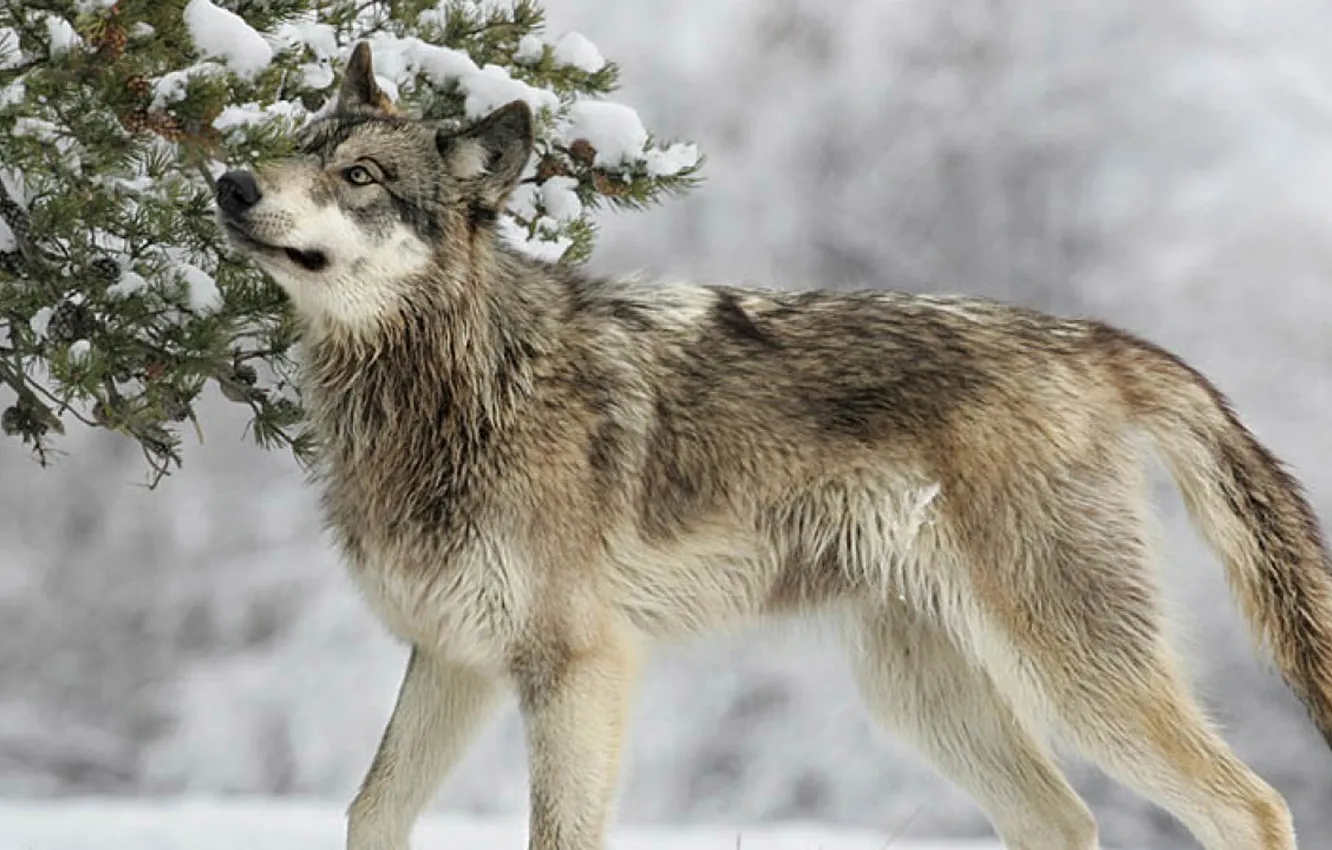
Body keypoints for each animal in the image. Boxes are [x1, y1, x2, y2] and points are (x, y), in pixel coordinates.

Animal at [215, 42, 1332, 850]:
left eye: (357, 174)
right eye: (295, 143)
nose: (228, 183)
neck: (458, 388)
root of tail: (1092, 339)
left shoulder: (577, 666)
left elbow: (555, 834)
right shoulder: (454, 659)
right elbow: (370, 810)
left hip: (1072, 673)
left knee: (1253, 806)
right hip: (920, 694)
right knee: (1064, 818)